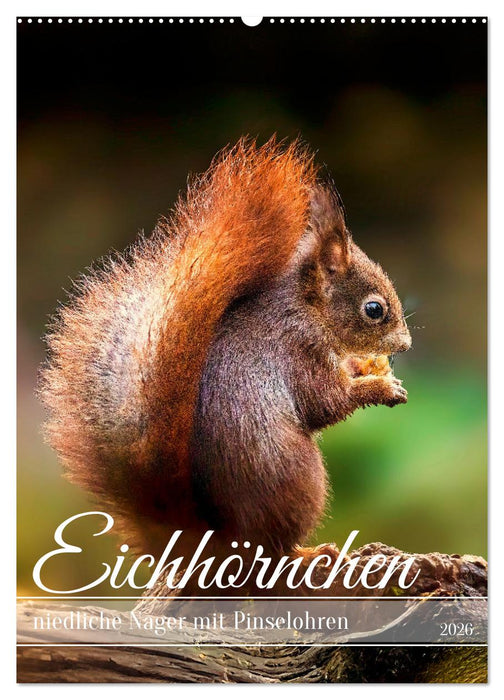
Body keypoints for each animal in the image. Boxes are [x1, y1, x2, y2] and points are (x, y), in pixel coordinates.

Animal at [40, 137, 411, 565]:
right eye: (374, 309)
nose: (405, 344)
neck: (307, 308)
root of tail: (215, 537)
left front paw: (367, 367)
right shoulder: (297, 350)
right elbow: (326, 402)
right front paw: (381, 388)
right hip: (300, 479)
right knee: (271, 549)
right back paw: (308, 552)